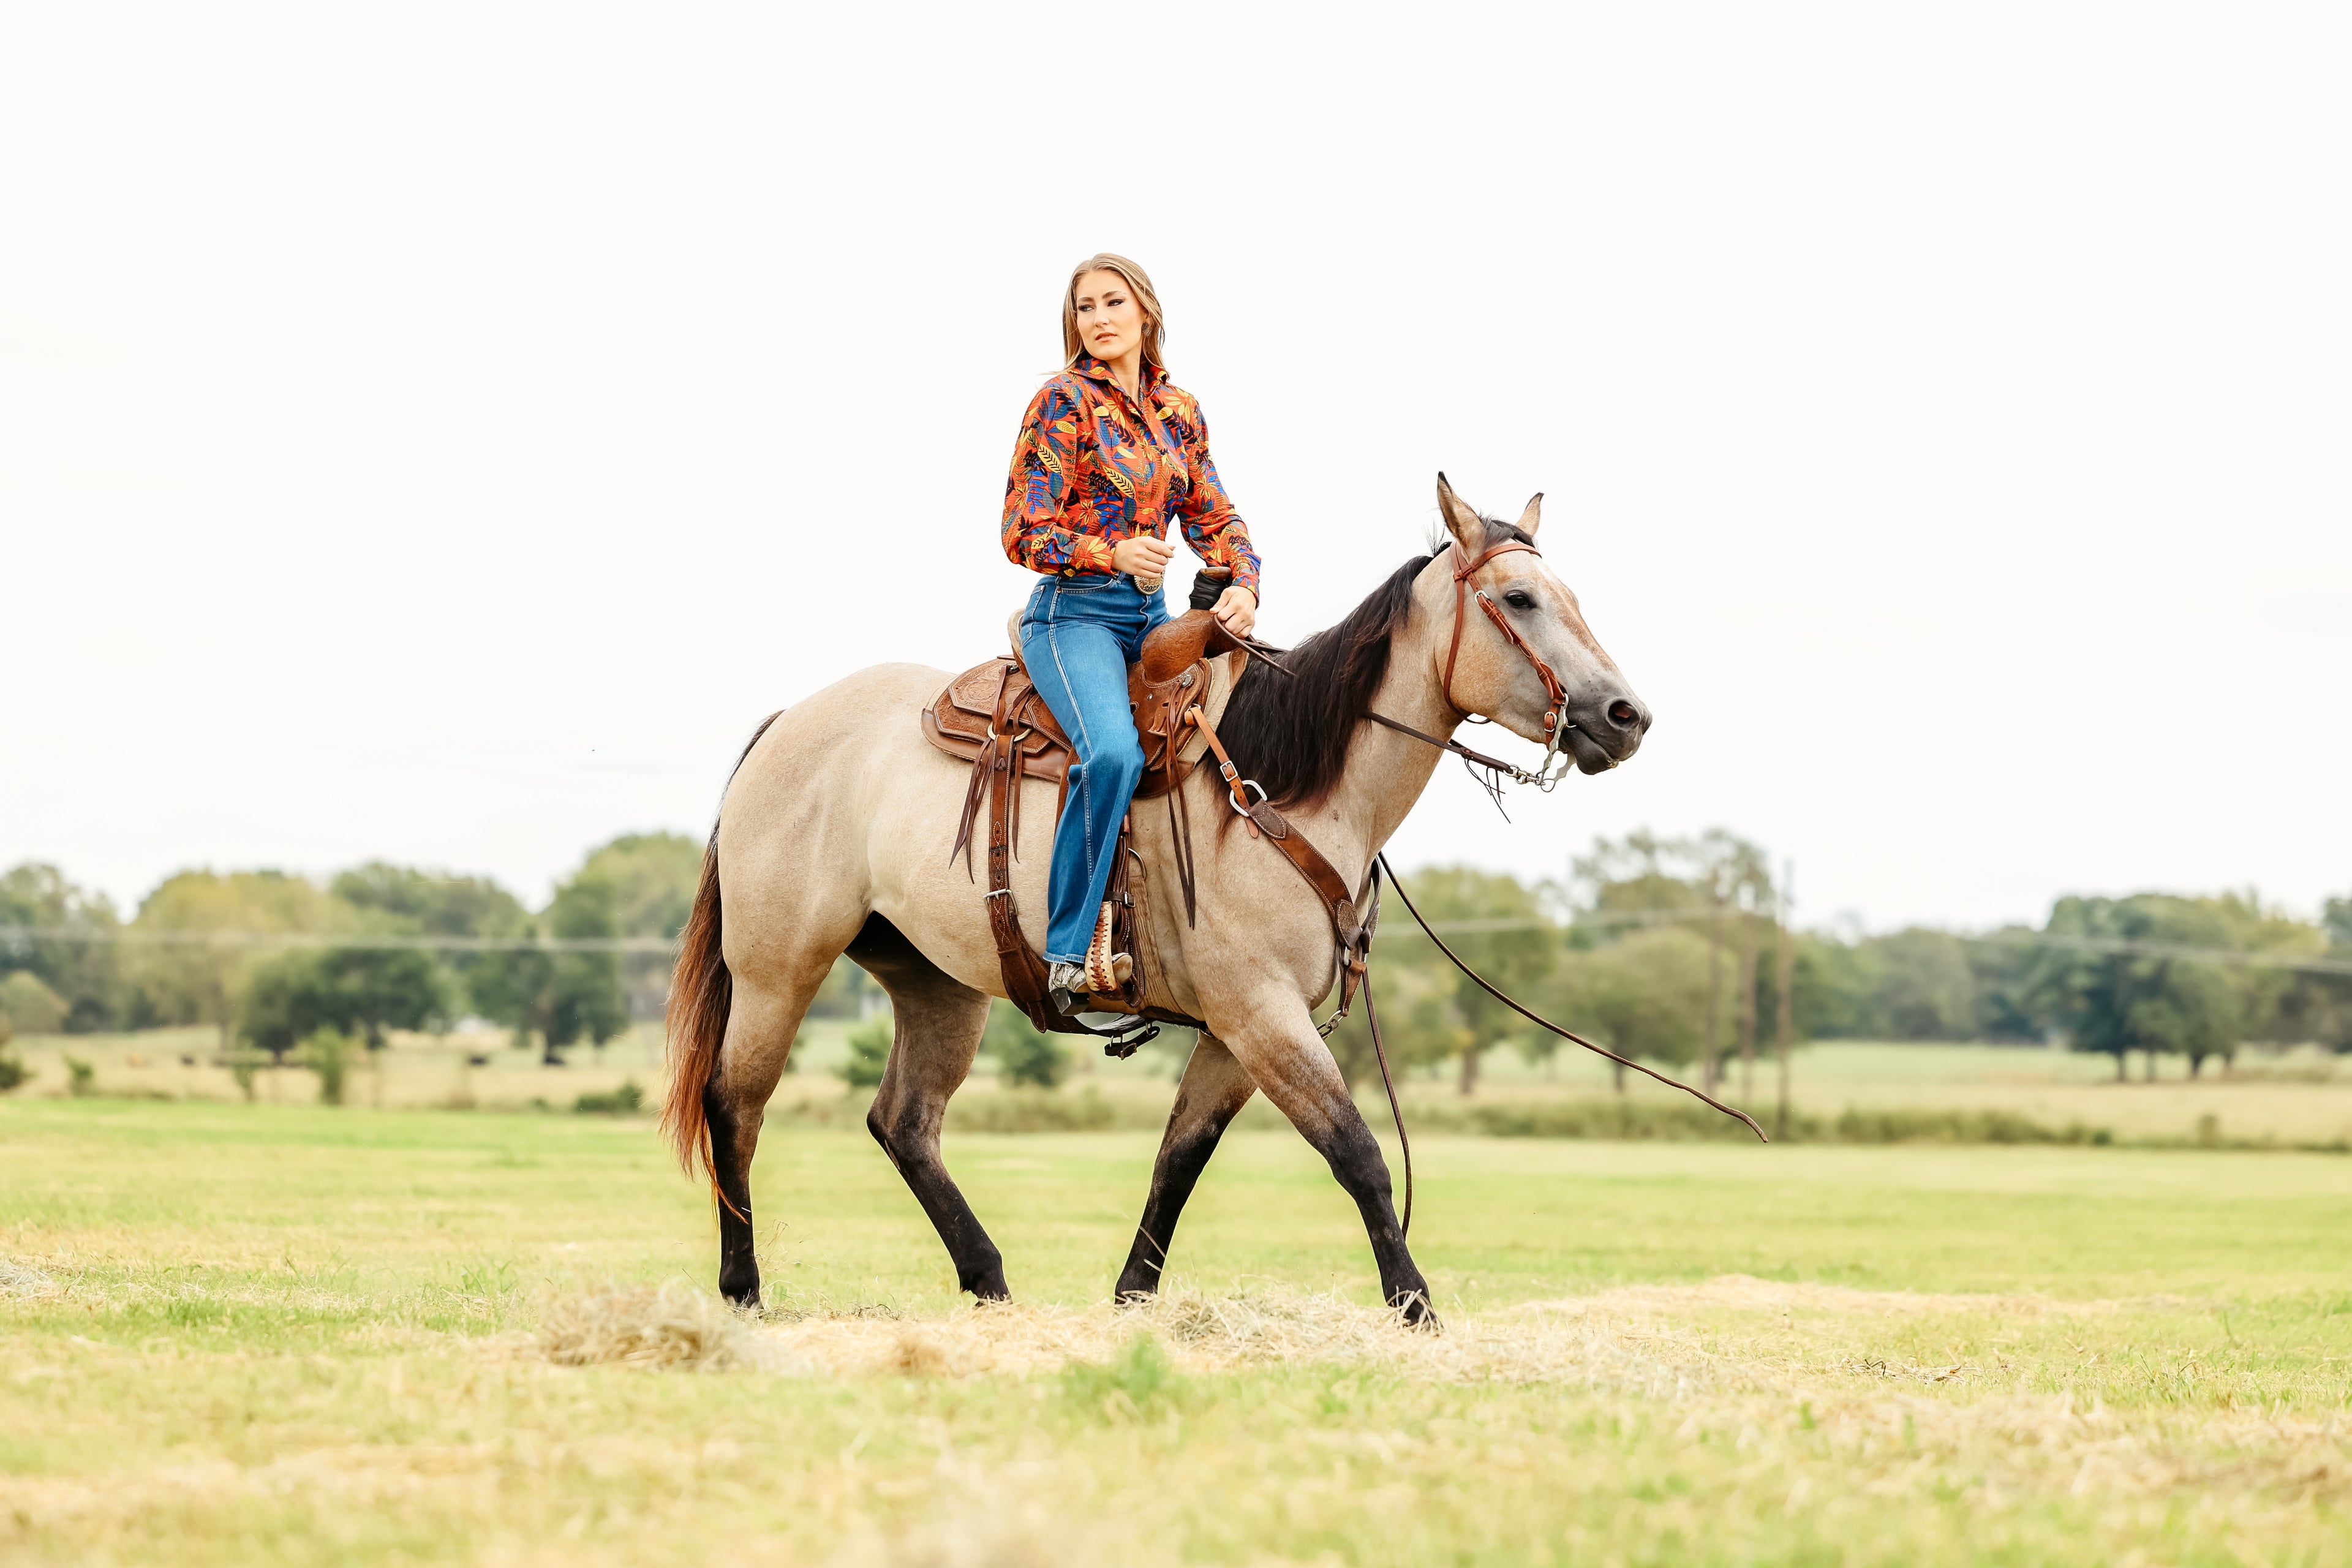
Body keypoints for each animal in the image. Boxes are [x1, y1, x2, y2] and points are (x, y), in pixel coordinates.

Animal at [663, 479, 1656, 1325]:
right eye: (1519, 600)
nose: (1626, 717)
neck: (1281, 787)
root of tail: (785, 724)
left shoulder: (1233, 1031)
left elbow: (1179, 1159)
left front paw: (1132, 1298)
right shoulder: (1260, 1015)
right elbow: (1358, 1154)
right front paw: (1416, 1308)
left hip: (936, 984)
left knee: (904, 1123)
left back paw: (989, 1281)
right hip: (777, 971)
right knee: (735, 1105)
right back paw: (743, 1289)